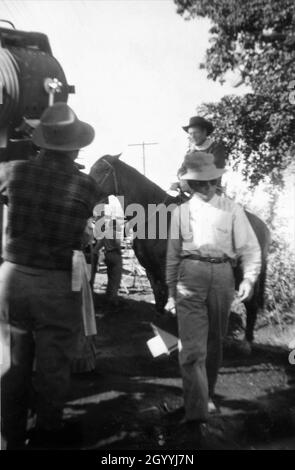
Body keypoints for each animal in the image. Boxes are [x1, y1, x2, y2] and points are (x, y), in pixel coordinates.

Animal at [90, 156, 270, 344]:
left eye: (103, 170)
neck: (154, 218)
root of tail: (262, 225)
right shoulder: (149, 268)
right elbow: (158, 297)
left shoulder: (164, 267)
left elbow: (168, 296)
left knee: (251, 304)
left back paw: (247, 342)